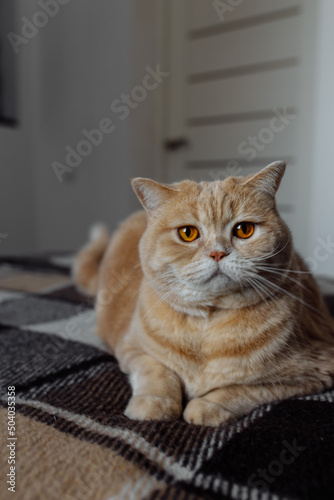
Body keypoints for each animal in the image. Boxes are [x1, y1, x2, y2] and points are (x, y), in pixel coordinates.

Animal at [73, 161, 334, 426]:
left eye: (244, 229)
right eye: (188, 233)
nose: (218, 253)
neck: (207, 325)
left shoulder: (315, 370)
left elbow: (244, 389)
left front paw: (207, 406)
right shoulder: (131, 349)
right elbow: (156, 371)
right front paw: (155, 403)